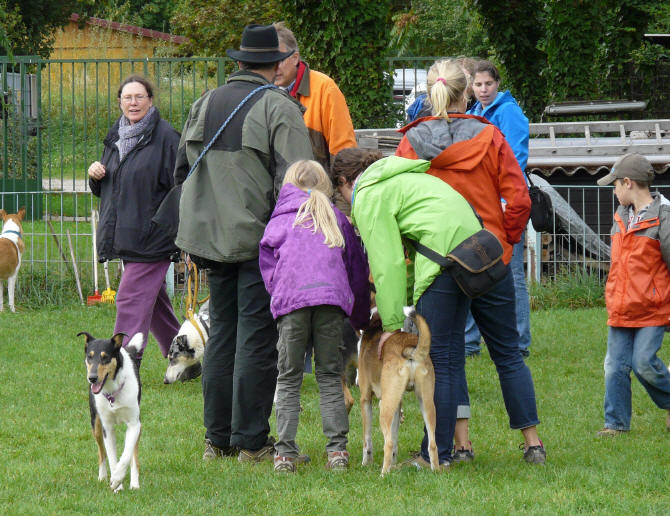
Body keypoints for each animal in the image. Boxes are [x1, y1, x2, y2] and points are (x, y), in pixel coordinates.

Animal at [78, 331, 143, 492]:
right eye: (90, 356)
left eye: (105, 357)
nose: (92, 378)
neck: (113, 392)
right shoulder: (107, 427)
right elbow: (112, 457)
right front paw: (116, 485)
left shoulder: (134, 424)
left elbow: (126, 455)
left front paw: (118, 478)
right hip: (95, 424)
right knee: (101, 452)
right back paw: (102, 477)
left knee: (133, 454)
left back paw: (134, 483)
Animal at [358, 309, 438, 475]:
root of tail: (408, 348)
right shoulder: (397, 404)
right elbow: (395, 440)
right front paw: (393, 465)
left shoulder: (365, 399)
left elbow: (367, 439)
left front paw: (366, 464)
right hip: (426, 402)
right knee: (433, 443)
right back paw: (436, 471)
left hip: (384, 407)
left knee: (387, 443)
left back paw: (383, 475)